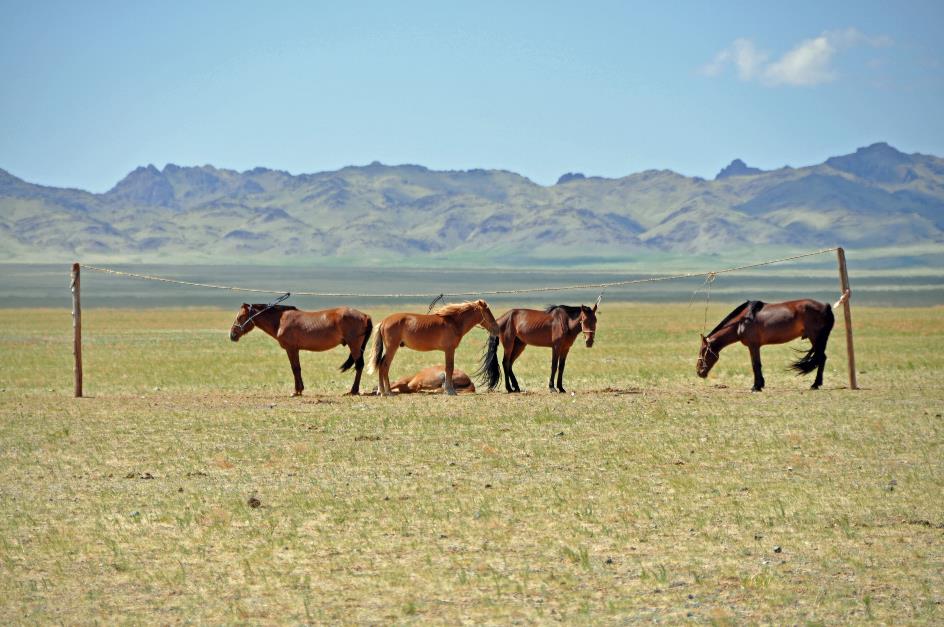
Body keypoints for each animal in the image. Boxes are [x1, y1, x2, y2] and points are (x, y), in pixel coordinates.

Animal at [229, 304, 372, 398]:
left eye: (241, 316)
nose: (232, 335)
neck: (280, 321)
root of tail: (365, 315)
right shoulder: (295, 350)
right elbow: (298, 368)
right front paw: (300, 390)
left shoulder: (291, 349)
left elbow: (295, 369)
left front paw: (296, 391)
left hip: (354, 346)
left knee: (359, 365)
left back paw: (353, 390)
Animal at [368, 300, 502, 398]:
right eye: (487, 312)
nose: (497, 329)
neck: (453, 323)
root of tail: (384, 321)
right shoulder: (449, 350)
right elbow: (449, 368)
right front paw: (450, 391)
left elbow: (449, 369)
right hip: (392, 348)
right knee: (384, 366)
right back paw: (386, 392)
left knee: (382, 366)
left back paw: (382, 391)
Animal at [692, 290, 848, 392]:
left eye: (703, 351)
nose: (699, 372)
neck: (742, 321)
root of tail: (826, 306)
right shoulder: (755, 346)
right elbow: (757, 365)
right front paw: (760, 385)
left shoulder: (753, 346)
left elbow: (755, 365)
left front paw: (756, 387)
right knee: (822, 358)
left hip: (816, 338)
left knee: (821, 358)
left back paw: (815, 385)